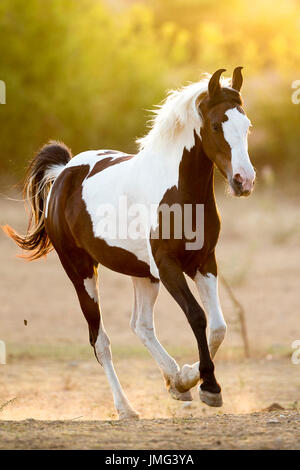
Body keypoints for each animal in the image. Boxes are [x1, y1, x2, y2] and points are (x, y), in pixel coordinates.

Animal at [3, 66, 254, 418]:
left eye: (247, 125)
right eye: (217, 125)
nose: (244, 181)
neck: (178, 192)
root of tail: (64, 171)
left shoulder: (204, 262)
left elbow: (218, 326)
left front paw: (189, 379)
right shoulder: (168, 266)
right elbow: (197, 317)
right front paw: (208, 387)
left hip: (142, 274)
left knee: (141, 325)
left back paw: (175, 382)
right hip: (82, 271)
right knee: (100, 340)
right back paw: (126, 408)